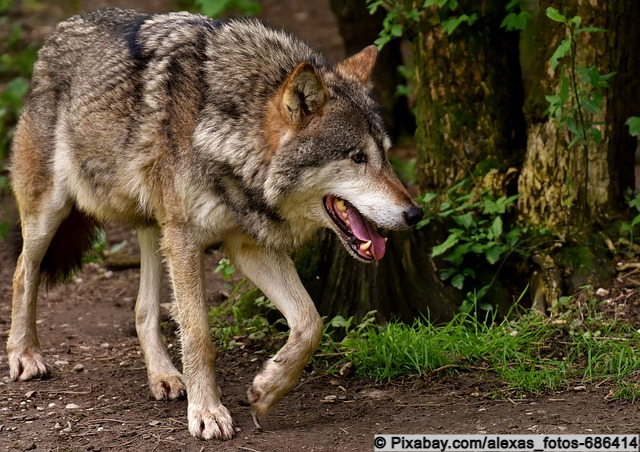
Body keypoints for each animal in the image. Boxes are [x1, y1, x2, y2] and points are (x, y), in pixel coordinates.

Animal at [7, 7, 424, 442]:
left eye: (386, 155)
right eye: (357, 157)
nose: (415, 214)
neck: (227, 134)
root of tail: (60, 29)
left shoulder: (247, 246)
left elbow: (311, 323)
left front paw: (267, 390)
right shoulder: (187, 240)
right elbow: (199, 335)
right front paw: (207, 412)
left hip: (155, 228)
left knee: (143, 309)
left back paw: (164, 376)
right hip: (51, 213)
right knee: (23, 272)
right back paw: (24, 356)